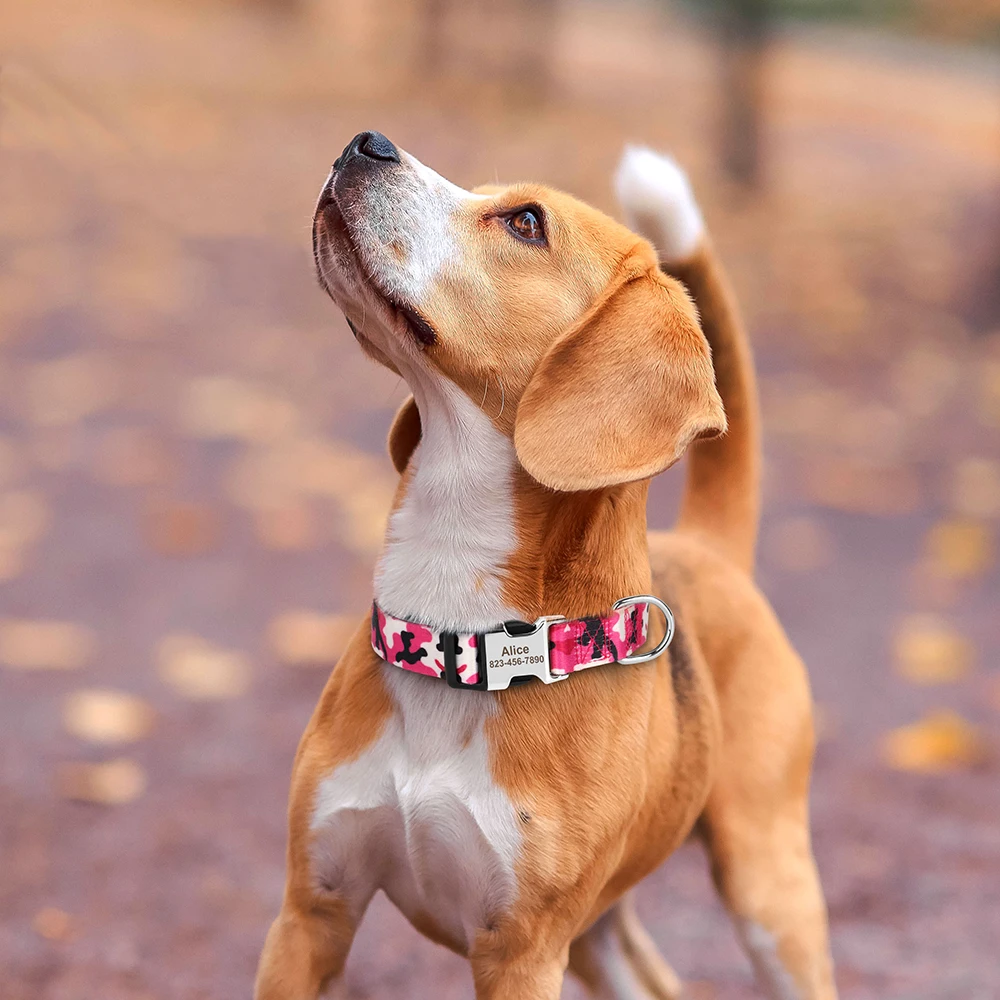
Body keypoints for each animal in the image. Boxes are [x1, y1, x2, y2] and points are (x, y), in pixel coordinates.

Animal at [256, 133, 836, 1000]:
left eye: (526, 222)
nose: (366, 143)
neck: (461, 638)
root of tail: (708, 549)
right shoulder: (310, 914)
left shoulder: (522, 956)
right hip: (599, 934)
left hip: (769, 893)